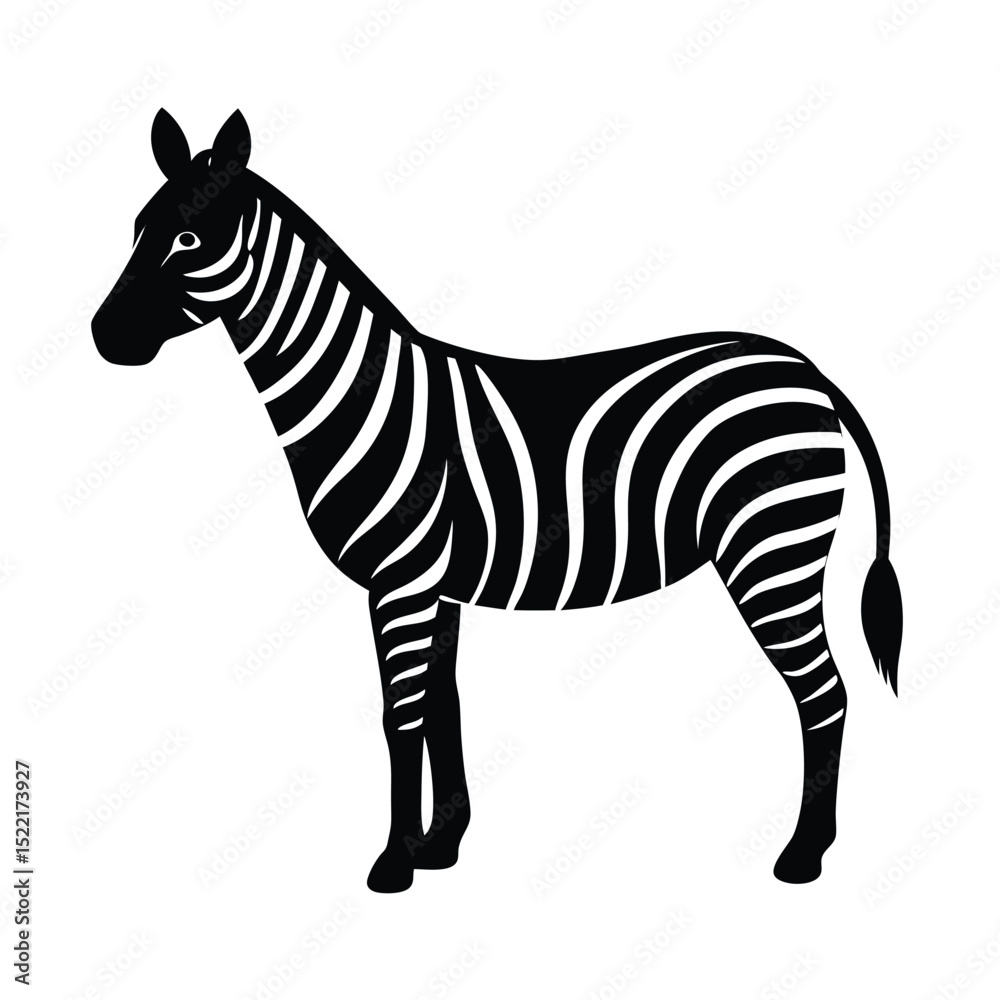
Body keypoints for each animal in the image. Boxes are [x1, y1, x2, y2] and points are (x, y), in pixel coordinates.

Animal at [92, 110, 903, 893]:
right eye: (133, 230)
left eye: (187, 238)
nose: (103, 339)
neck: (366, 397)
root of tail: (809, 372)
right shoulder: (436, 585)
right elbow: (440, 705)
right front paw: (441, 845)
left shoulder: (400, 580)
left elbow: (399, 715)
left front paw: (391, 866)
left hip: (772, 550)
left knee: (823, 692)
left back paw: (803, 855)